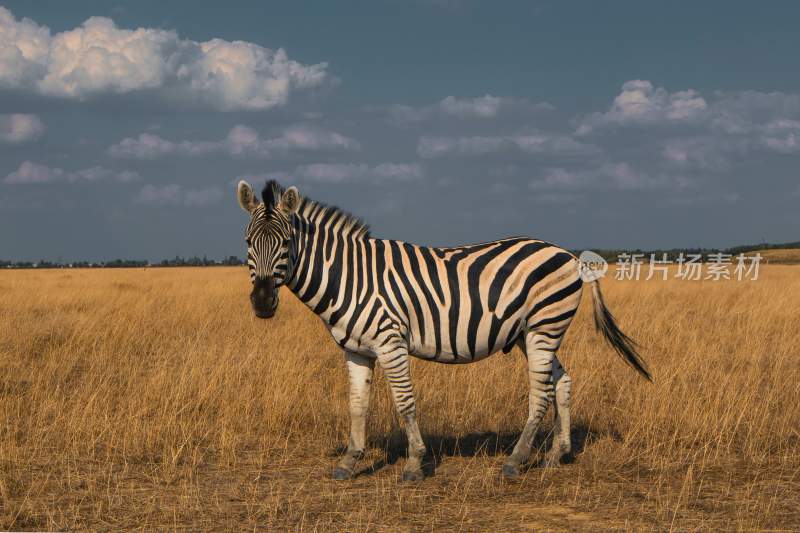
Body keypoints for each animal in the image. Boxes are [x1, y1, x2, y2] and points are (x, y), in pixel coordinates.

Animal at [236, 181, 648, 480]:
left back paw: (515, 461)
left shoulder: (390, 341)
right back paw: (555, 455)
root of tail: (571, 256)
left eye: (285, 242)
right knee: (561, 382)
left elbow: (405, 403)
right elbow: (356, 405)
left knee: (541, 393)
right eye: (248, 242)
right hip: (532, 334)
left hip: (543, 328)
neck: (349, 277)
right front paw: (349, 462)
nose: (262, 302)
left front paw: (415, 464)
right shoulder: (356, 349)